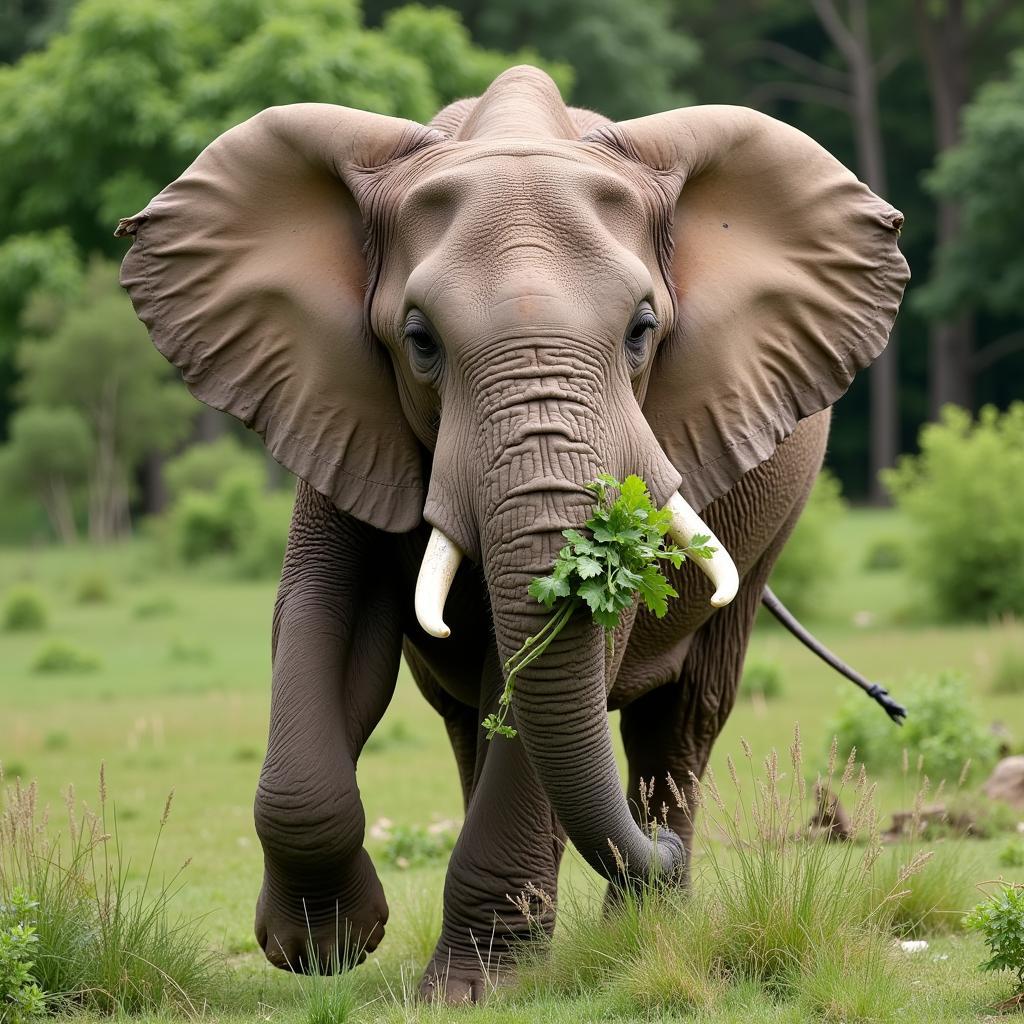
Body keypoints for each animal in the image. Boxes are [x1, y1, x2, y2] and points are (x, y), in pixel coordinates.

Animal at [116, 66, 909, 1007]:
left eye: (642, 331)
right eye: (420, 341)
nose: (654, 853)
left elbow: (569, 655)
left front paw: (468, 992)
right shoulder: (336, 408)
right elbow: (322, 621)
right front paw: (322, 947)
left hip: (770, 531)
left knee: (683, 716)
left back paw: (649, 917)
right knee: (468, 717)